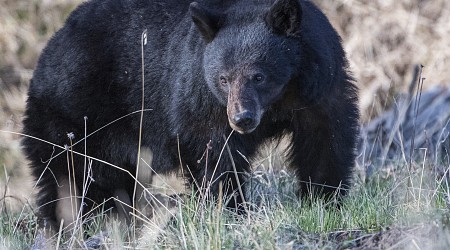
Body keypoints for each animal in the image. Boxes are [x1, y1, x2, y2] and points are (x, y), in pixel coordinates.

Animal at [22, 0, 358, 230]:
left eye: (258, 76)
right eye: (223, 79)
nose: (243, 119)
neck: (280, 98)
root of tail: (50, 48)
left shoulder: (320, 87)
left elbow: (325, 140)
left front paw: (324, 200)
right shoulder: (202, 98)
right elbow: (217, 156)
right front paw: (228, 209)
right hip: (75, 116)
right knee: (69, 175)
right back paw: (70, 224)